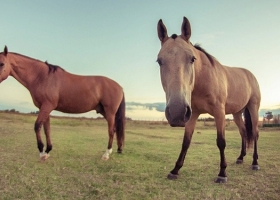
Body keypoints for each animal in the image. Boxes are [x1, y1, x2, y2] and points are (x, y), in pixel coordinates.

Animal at [156, 16, 262, 183]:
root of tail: (250, 74)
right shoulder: (192, 114)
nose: (176, 112)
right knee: (244, 132)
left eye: (192, 59)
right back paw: (240, 158)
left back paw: (255, 162)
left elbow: (221, 142)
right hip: (237, 114)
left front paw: (222, 173)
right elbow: (186, 142)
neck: (204, 79)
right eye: (159, 61)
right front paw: (175, 170)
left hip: (253, 109)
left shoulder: (219, 113)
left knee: (255, 133)